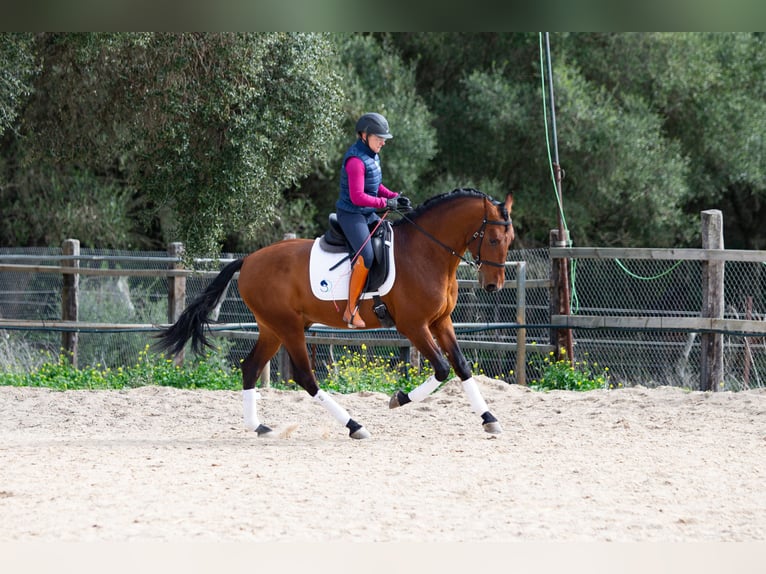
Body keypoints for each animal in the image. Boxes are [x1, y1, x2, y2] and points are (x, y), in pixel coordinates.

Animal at [154, 189, 516, 440]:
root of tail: (249, 259)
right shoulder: (414, 326)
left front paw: (490, 419)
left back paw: (259, 427)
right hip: (289, 327)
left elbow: (462, 366)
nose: (493, 285)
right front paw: (398, 399)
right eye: (493, 239)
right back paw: (354, 425)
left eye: (509, 239)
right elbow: (441, 369)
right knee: (305, 377)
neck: (426, 252)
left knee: (251, 367)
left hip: (272, 328)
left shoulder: (441, 322)